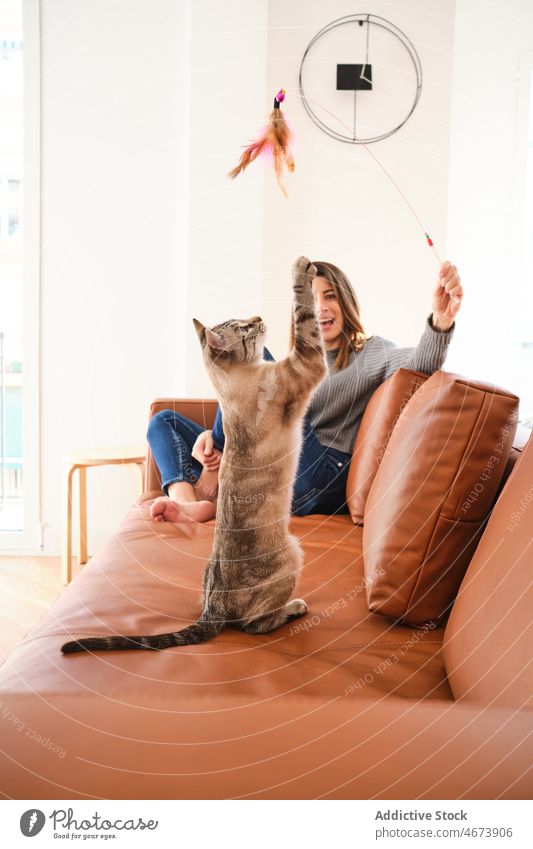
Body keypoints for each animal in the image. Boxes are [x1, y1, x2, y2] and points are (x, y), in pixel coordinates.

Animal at [62, 255, 328, 652]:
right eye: (243, 328)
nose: (258, 317)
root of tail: (213, 608)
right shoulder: (308, 362)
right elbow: (304, 313)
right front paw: (301, 268)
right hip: (294, 554)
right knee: (255, 625)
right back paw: (294, 608)